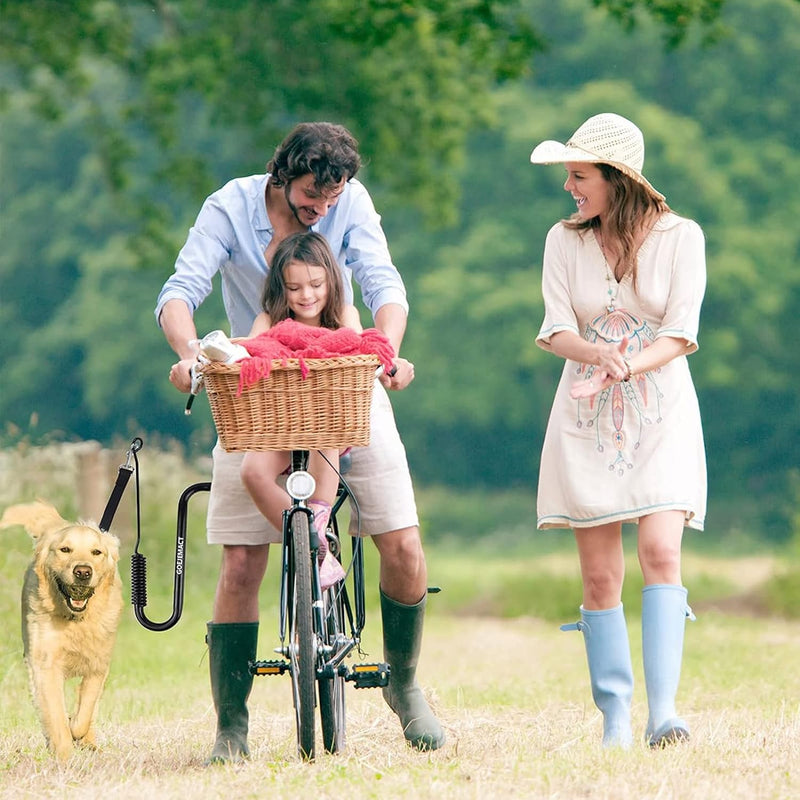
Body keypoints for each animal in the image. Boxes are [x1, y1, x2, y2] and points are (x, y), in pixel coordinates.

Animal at [0, 500, 122, 764]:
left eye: (96, 552)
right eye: (65, 549)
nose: (83, 571)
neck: (76, 620)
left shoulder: (99, 664)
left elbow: (85, 709)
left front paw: (76, 730)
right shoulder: (45, 664)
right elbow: (55, 714)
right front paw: (64, 754)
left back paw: (89, 742)